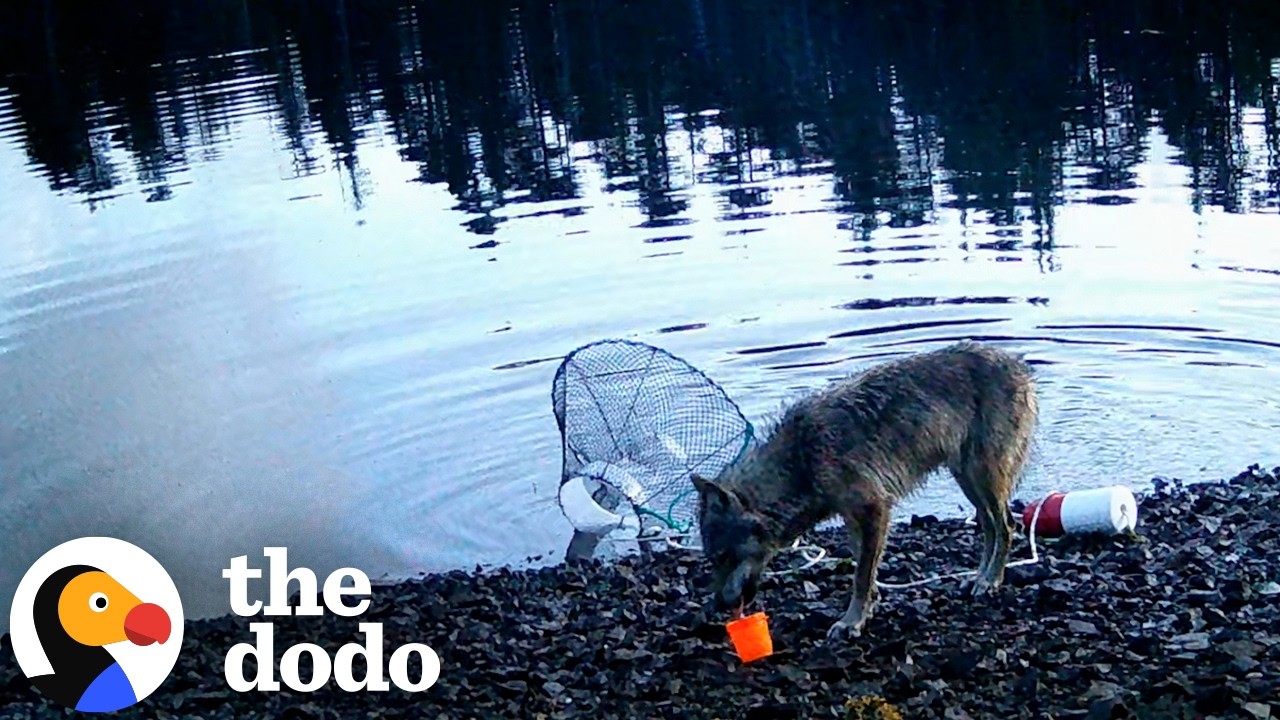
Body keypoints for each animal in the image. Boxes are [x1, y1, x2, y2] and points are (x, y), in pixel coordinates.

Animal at [692, 340, 1038, 641]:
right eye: (712, 559)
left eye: (723, 557)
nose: (717, 606)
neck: (801, 461)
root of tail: (1018, 364)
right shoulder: (853, 517)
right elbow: (865, 567)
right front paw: (868, 609)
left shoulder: (875, 509)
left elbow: (860, 575)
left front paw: (851, 622)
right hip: (968, 480)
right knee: (990, 527)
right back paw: (979, 578)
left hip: (983, 477)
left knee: (1007, 525)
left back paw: (990, 581)